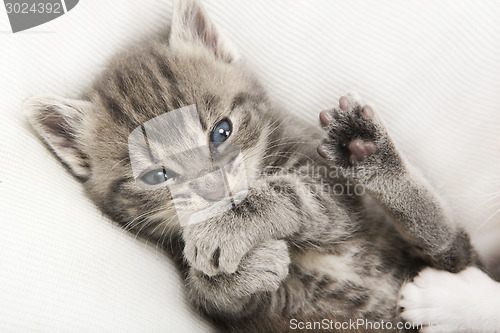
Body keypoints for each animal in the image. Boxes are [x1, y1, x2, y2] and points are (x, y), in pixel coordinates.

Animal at [26, 0, 480, 330]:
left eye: (221, 132)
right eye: (156, 176)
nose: (212, 189)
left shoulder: (333, 189)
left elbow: (300, 193)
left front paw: (232, 224)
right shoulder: (252, 314)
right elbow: (216, 297)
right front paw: (236, 273)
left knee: (444, 237)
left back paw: (373, 155)